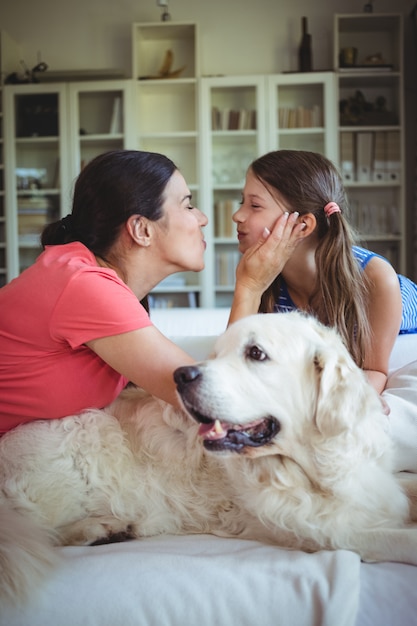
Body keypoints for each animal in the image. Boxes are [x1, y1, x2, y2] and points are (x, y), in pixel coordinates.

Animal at [0, 312, 416, 604]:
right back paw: (100, 529)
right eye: (215, 355)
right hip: (81, 440)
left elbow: (405, 487)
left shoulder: (378, 487)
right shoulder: (327, 531)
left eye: (256, 353)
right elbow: (398, 540)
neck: (313, 468)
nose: (180, 375)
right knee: (38, 534)